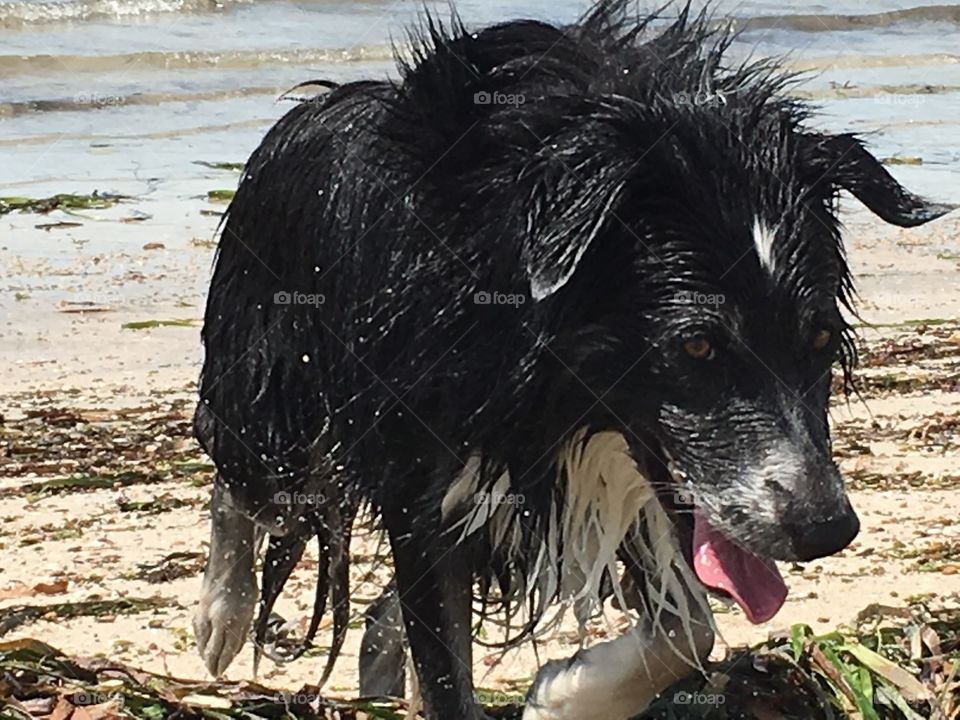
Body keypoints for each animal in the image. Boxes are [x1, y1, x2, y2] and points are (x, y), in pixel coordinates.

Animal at [189, 2, 952, 716]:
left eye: (818, 339)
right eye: (697, 344)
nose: (827, 529)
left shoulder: (628, 478)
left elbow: (690, 627)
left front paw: (559, 695)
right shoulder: (424, 482)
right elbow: (447, 669)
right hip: (275, 392)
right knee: (236, 467)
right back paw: (221, 617)